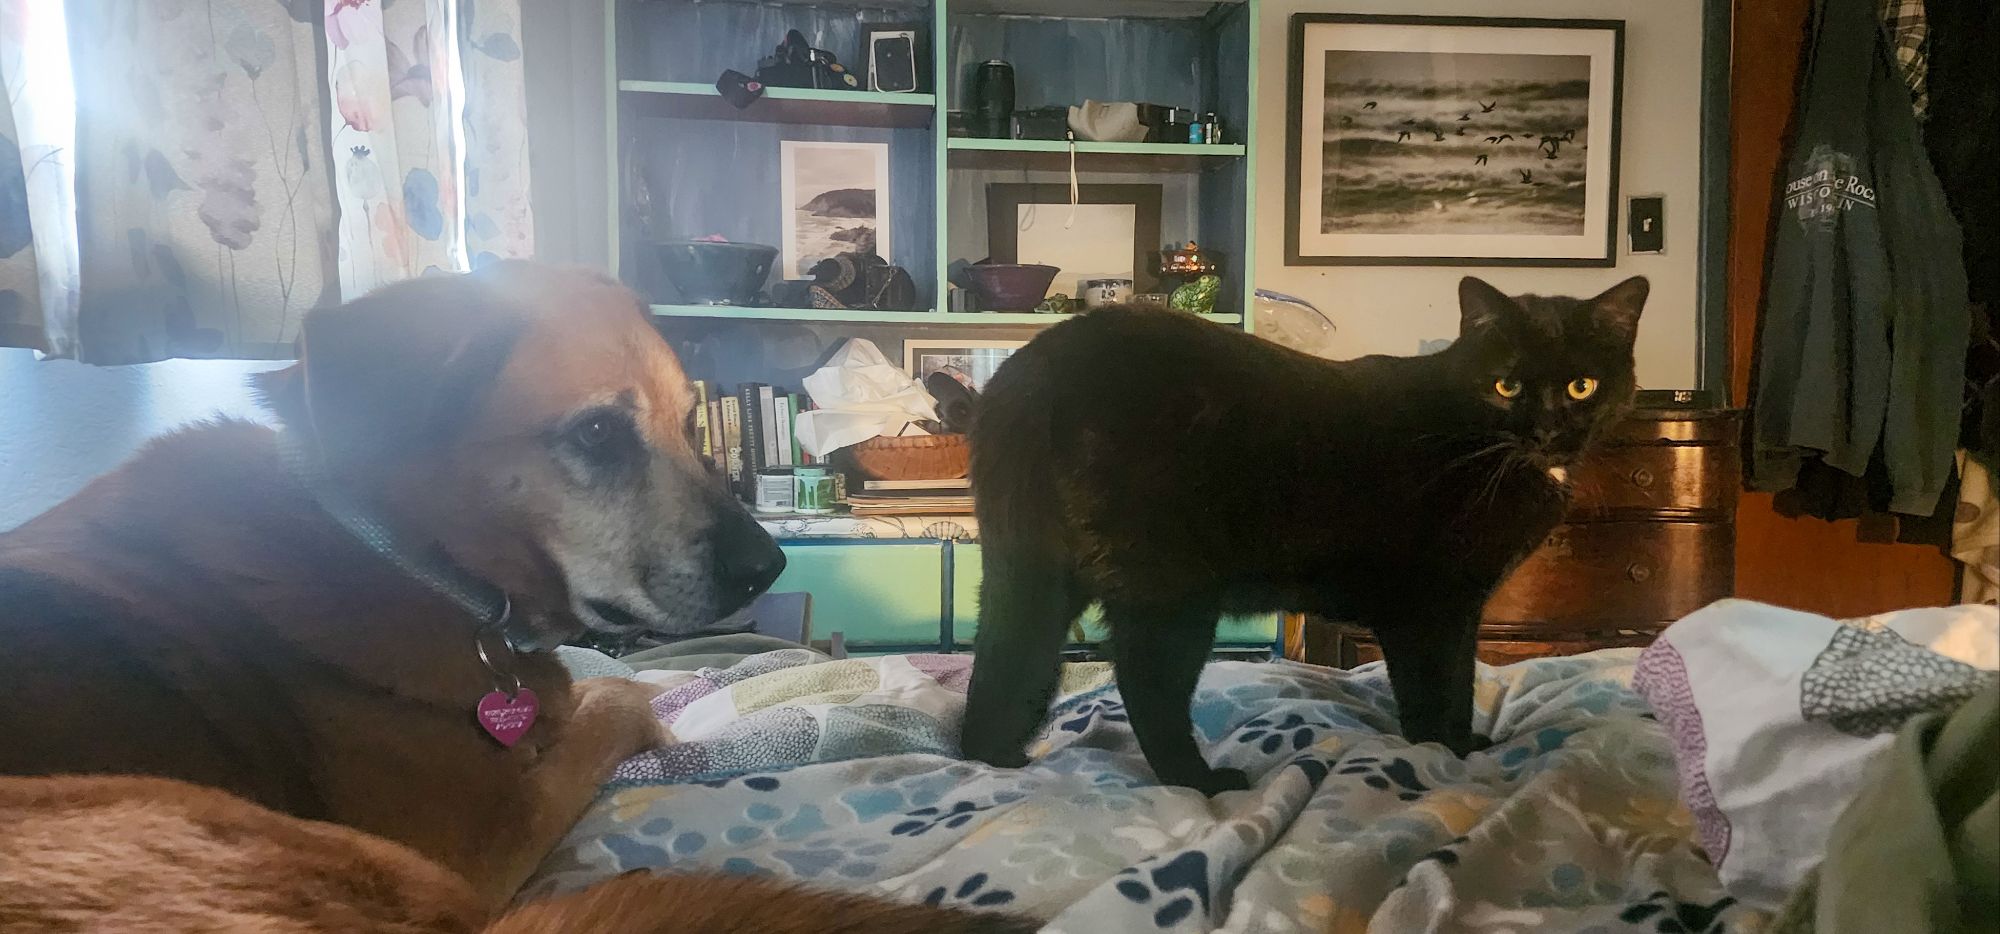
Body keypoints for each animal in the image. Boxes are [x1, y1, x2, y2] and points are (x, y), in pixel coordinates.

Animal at [0, 262, 787, 909]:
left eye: (691, 423)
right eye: (597, 432)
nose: (769, 566)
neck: (401, 552)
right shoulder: (485, 833)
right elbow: (618, 696)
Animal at [961, 276, 1648, 794]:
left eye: (1582, 386)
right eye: (1507, 385)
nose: (1549, 431)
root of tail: (1035, 368)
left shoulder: (1458, 607)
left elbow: (1459, 679)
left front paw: (1463, 743)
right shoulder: (1431, 606)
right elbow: (1438, 686)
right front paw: (1443, 754)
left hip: (1037, 573)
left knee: (1006, 660)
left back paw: (994, 761)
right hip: (1171, 590)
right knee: (1144, 683)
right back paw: (1201, 782)